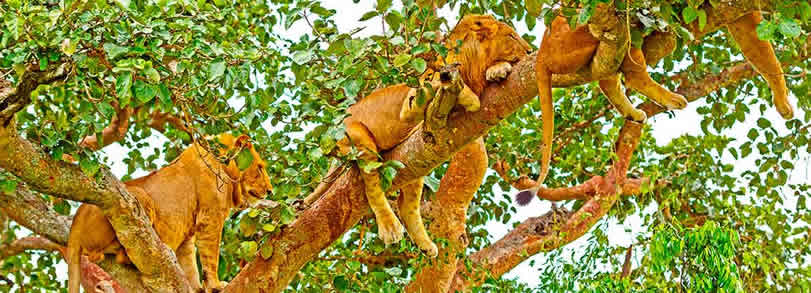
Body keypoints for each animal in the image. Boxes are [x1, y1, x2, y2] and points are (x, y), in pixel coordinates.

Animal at [68, 133, 272, 292]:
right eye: (260, 167)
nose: (270, 191)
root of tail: (75, 223)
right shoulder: (211, 217)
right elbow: (210, 257)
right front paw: (215, 285)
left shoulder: (188, 232)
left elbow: (190, 264)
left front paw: (197, 288)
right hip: (139, 197)